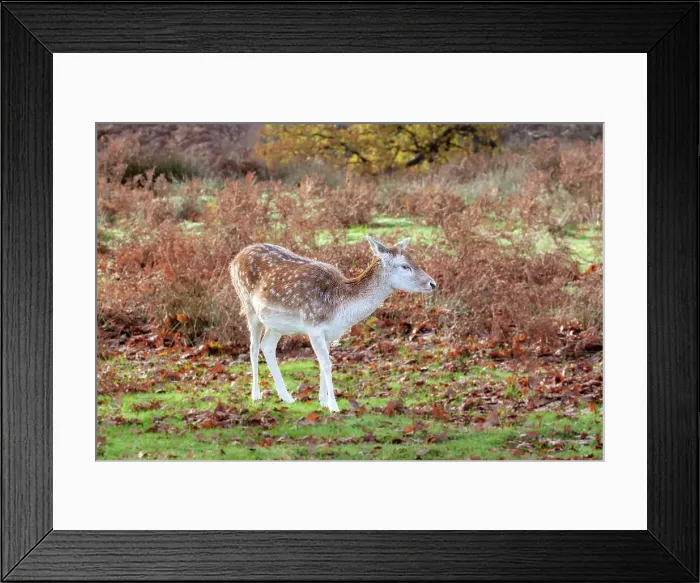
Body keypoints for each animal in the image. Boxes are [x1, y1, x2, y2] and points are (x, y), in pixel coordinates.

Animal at [229, 236, 436, 412]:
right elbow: (327, 364)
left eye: (414, 261)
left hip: (276, 323)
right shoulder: (313, 326)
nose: (432, 283)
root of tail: (234, 259)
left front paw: (323, 401)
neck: (340, 309)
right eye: (405, 266)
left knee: (267, 345)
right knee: (253, 347)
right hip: (248, 306)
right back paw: (256, 394)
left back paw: (286, 396)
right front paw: (334, 406)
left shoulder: (329, 333)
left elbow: (323, 364)